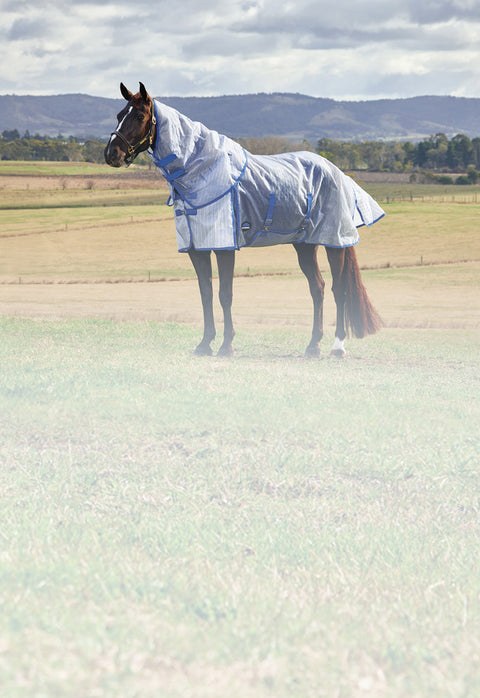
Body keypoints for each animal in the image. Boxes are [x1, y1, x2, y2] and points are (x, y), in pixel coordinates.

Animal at [104, 82, 384, 358]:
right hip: (304, 245)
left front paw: (226, 346)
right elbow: (206, 293)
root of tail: (338, 173)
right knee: (318, 287)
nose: (111, 154)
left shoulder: (225, 247)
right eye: (119, 115)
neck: (202, 172)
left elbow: (225, 294)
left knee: (339, 289)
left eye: (139, 116)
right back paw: (313, 346)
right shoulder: (197, 249)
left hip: (334, 242)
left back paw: (337, 347)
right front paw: (205, 344)